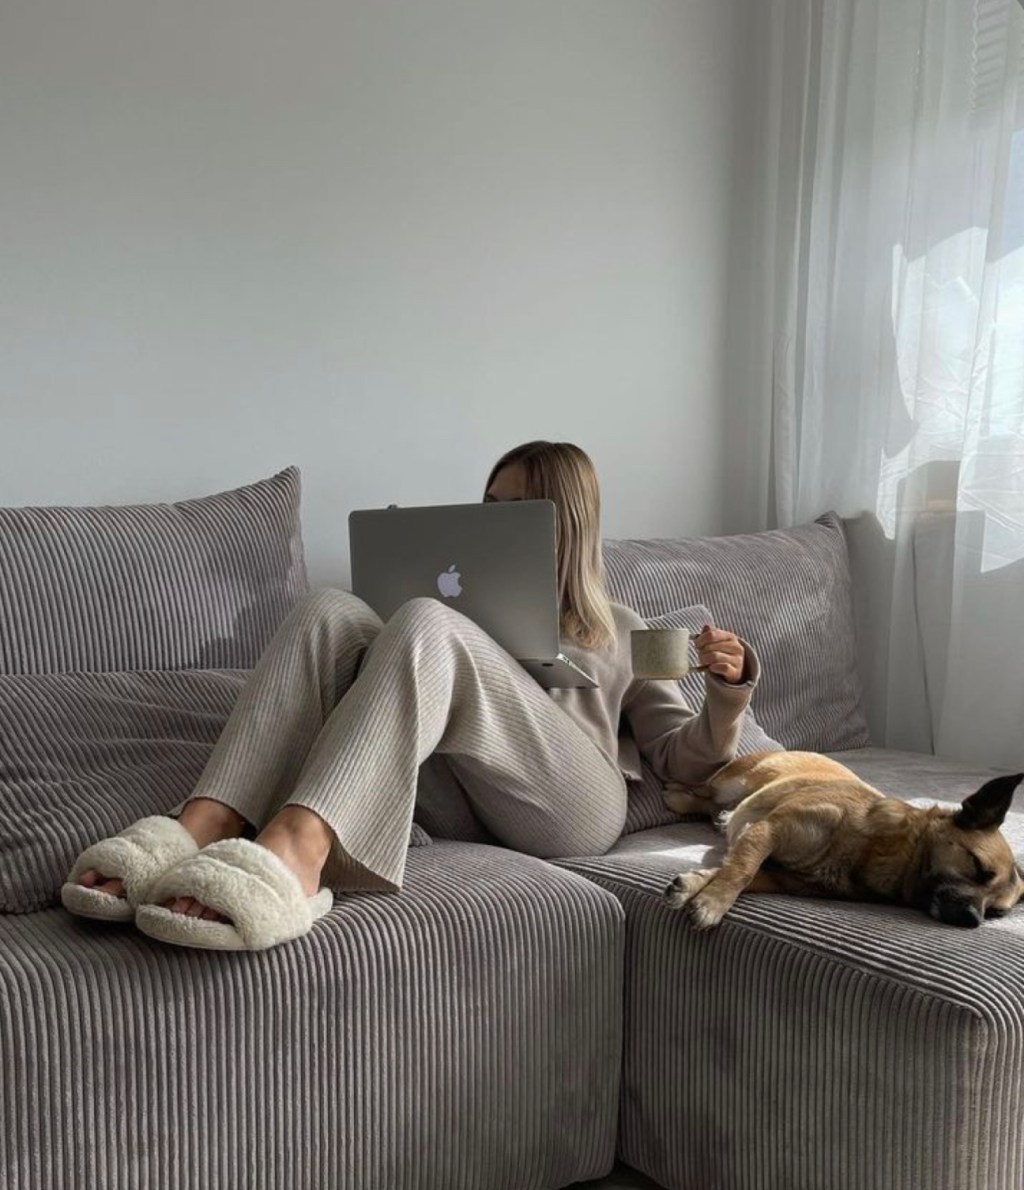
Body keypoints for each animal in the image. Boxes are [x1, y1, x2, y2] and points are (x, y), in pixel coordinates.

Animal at [662, 751, 1024, 929]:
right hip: (733, 783)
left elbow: (737, 871)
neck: (866, 849)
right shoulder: (768, 829)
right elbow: (741, 870)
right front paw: (713, 904)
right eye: (977, 866)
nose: (974, 920)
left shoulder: (779, 876)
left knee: (712, 807)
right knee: (701, 793)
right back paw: (676, 795)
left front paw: (695, 886)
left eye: (996, 914)